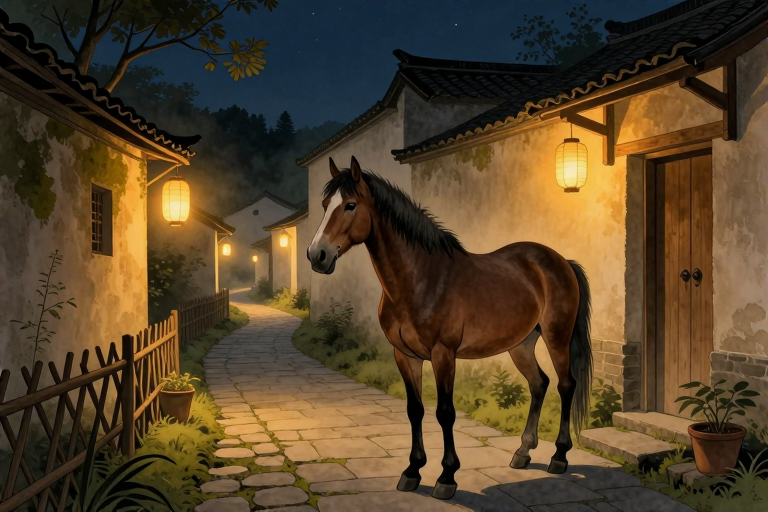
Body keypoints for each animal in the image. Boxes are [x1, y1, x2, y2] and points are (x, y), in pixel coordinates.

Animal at [307, 156, 592, 500]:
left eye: (350, 205)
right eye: (325, 205)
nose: (317, 256)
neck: (420, 279)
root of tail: (561, 261)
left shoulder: (444, 355)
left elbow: (445, 412)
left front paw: (447, 477)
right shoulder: (405, 356)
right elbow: (414, 410)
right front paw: (412, 471)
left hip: (556, 337)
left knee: (565, 385)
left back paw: (559, 456)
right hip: (521, 344)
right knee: (539, 384)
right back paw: (522, 453)